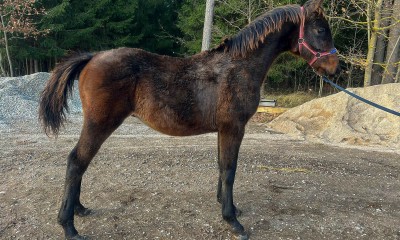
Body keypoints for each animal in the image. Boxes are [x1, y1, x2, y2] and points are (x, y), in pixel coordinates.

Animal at [40, 0, 340, 238]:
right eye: (320, 30)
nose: (336, 67)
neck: (238, 66)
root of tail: (93, 56)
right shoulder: (234, 128)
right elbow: (229, 170)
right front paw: (233, 221)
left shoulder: (223, 130)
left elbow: (222, 166)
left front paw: (227, 206)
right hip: (99, 124)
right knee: (76, 161)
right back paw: (69, 226)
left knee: (79, 163)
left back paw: (79, 209)